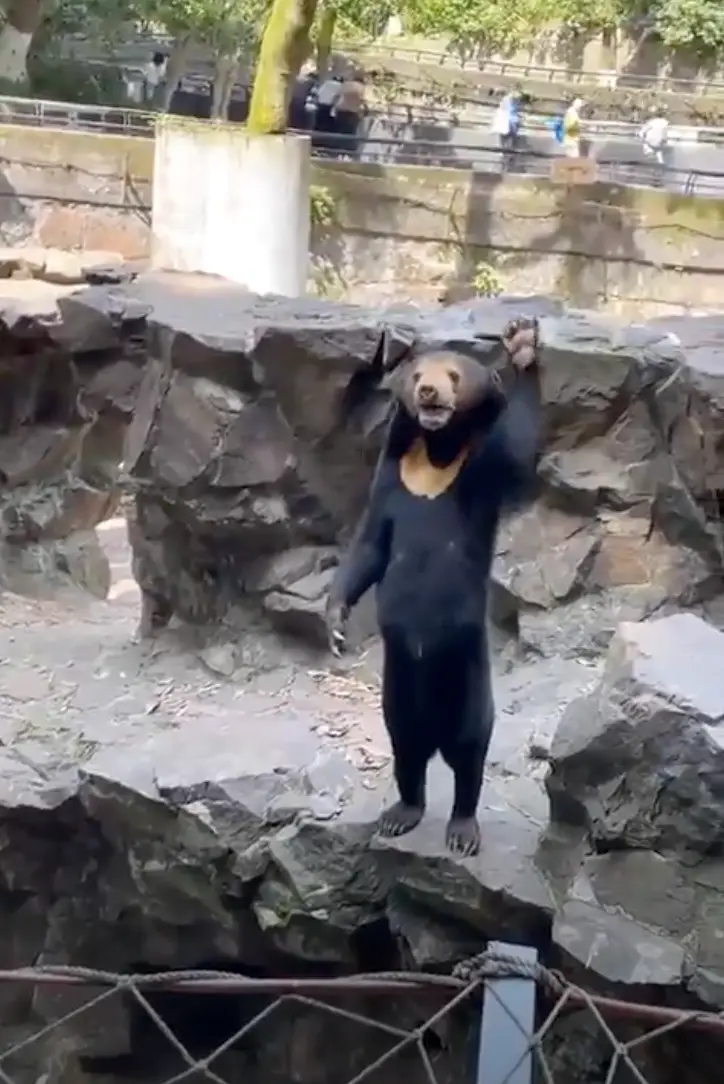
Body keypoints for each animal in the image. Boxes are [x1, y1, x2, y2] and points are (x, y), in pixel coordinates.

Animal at [325, 317, 543, 858]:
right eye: (418, 373)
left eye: (454, 375)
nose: (427, 392)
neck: (435, 457)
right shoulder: (391, 478)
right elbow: (370, 547)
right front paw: (335, 624)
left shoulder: (482, 473)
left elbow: (520, 456)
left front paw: (523, 343)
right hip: (398, 690)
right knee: (406, 750)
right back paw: (400, 814)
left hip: (466, 676)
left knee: (469, 751)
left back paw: (462, 830)